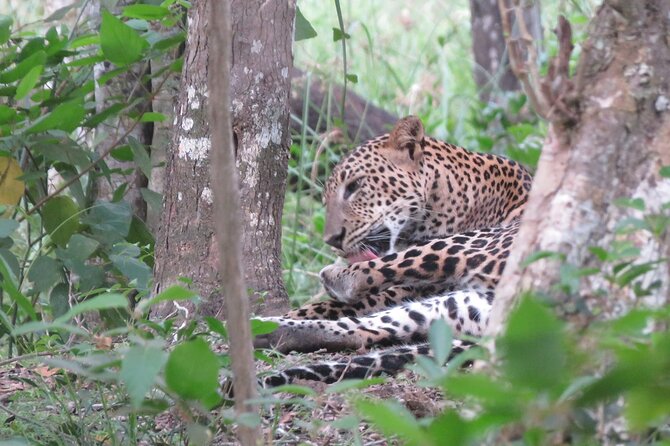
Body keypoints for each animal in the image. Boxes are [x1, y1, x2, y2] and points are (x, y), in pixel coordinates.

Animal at [254, 115, 532, 388]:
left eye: (355, 185)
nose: (333, 240)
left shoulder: (409, 286)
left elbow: (336, 301)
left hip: (470, 246)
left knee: (368, 281)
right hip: (460, 303)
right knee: (362, 328)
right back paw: (264, 330)